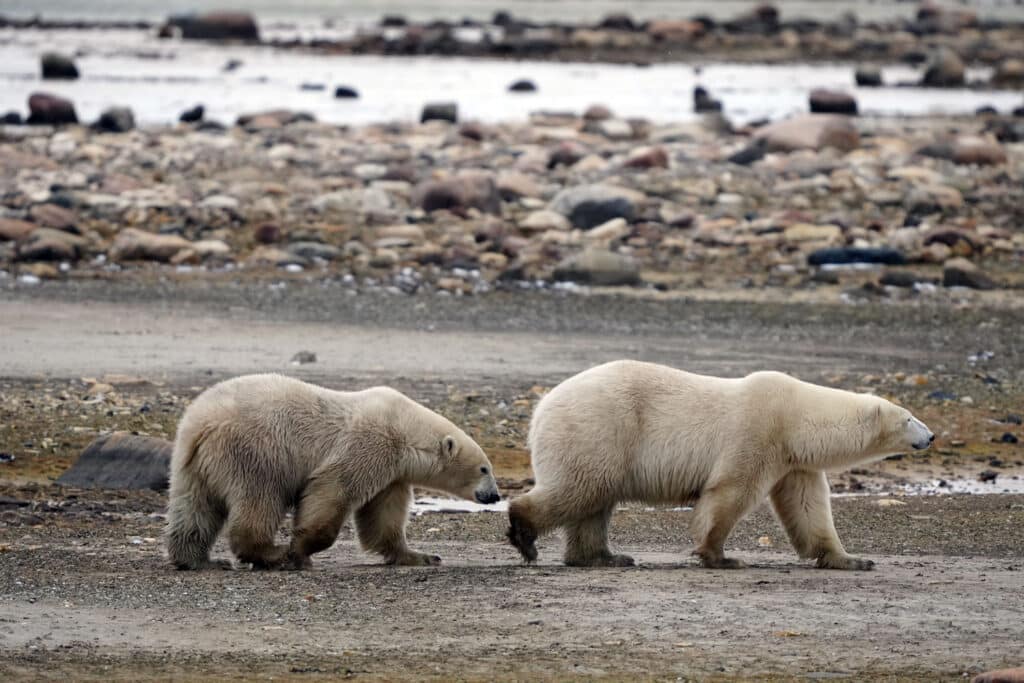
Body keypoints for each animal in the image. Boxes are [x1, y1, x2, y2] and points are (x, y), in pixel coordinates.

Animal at [165, 374, 501, 570]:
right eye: (484, 468)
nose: (495, 495)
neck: (404, 429)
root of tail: (204, 424)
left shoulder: (392, 472)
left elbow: (384, 517)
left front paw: (422, 556)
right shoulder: (369, 444)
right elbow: (332, 488)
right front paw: (299, 551)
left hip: (191, 462)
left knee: (194, 507)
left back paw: (197, 560)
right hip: (256, 450)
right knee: (260, 497)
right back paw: (272, 554)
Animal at [507, 360, 933, 571]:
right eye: (909, 418)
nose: (930, 436)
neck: (797, 417)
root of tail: (541, 409)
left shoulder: (794, 462)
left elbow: (808, 508)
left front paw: (852, 559)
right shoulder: (757, 433)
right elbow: (729, 493)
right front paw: (721, 556)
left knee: (594, 500)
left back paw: (604, 557)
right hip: (599, 427)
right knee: (581, 489)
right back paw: (525, 536)